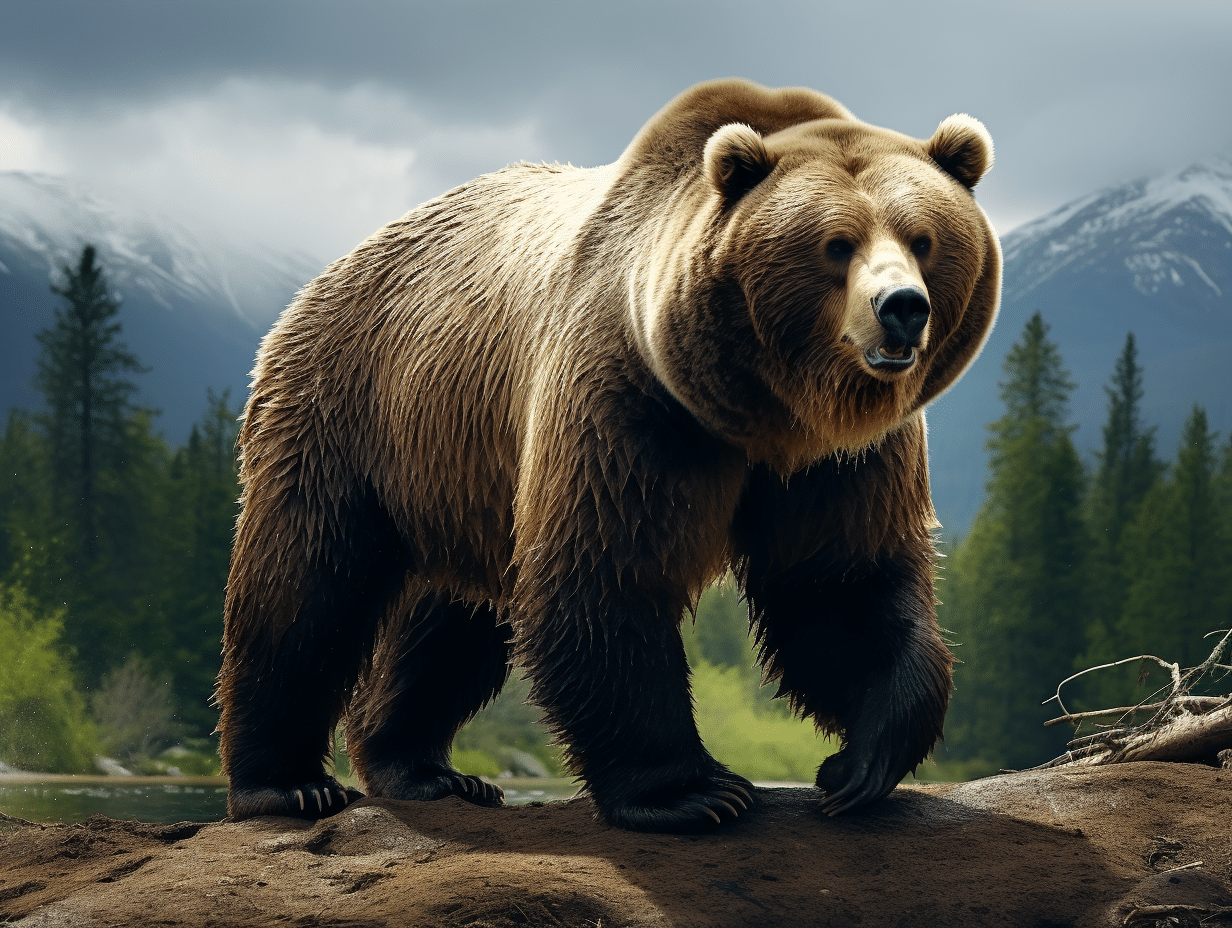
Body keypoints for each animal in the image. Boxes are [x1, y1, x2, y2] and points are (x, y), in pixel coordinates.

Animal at [216, 78, 999, 832]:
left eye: (924, 238)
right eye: (835, 244)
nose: (902, 307)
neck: (759, 409)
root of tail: (328, 275)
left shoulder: (841, 457)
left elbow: (839, 580)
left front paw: (859, 762)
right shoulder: (629, 397)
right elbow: (605, 572)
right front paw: (695, 792)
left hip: (459, 470)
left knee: (447, 617)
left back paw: (423, 768)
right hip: (348, 406)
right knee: (305, 585)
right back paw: (286, 783)